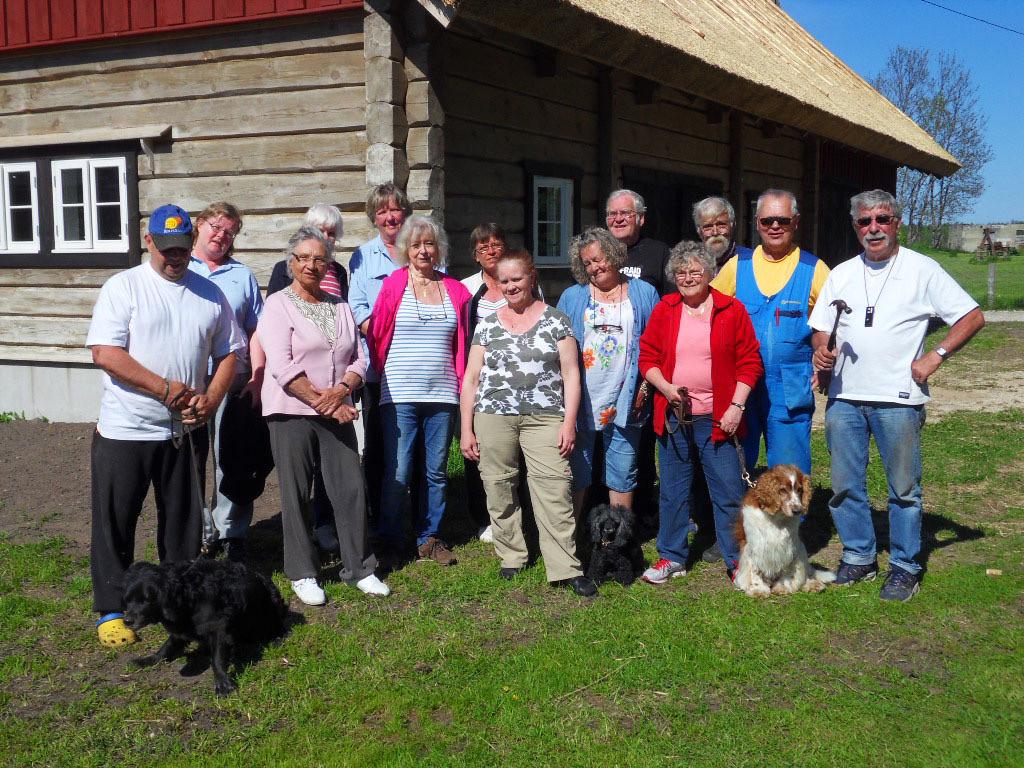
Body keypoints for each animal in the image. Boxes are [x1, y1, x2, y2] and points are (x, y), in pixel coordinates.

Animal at [126, 561, 292, 696]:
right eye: (128, 600)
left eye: (146, 599)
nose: (127, 620)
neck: (188, 598)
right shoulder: (180, 629)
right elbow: (167, 647)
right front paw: (150, 660)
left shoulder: (218, 628)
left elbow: (217, 659)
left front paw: (223, 683)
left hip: (273, 605)